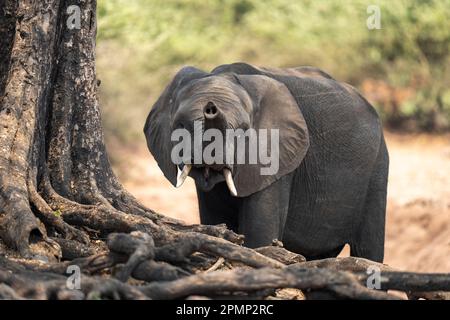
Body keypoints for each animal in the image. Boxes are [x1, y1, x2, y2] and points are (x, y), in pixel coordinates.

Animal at [143, 62, 386, 262]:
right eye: (181, 126)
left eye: (241, 131)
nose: (210, 108)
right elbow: (213, 220)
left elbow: (260, 233)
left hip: (378, 165)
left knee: (368, 251)